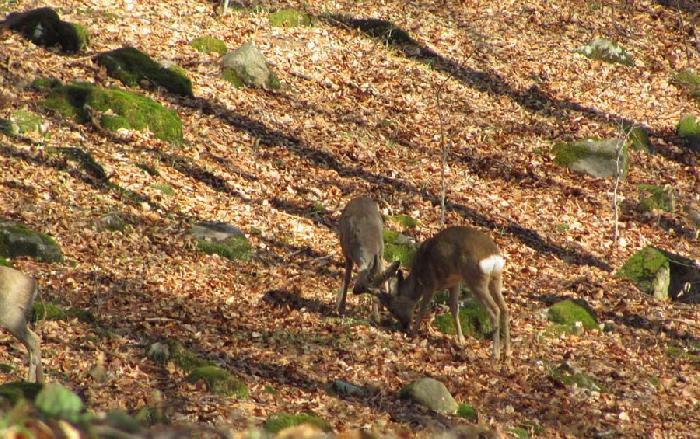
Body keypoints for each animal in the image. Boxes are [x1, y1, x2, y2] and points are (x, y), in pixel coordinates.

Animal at [374, 227, 512, 360]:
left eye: (393, 308)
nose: (403, 326)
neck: (418, 278)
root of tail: (494, 257)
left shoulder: (430, 283)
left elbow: (423, 308)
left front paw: (412, 334)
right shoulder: (454, 282)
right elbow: (454, 307)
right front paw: (461, 339)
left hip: (475, 279)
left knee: (494, 309)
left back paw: (495, 354)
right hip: (496, 278)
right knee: (504, 308)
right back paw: (507, 352)